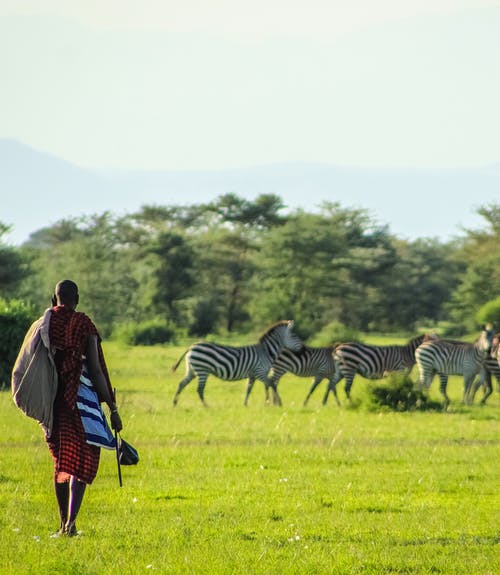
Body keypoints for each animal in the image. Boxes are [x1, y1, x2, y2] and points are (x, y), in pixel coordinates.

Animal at [172, 320, 304, 410]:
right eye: (294, 336)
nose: (303, 350)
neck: (265, 352)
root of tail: (192, 346)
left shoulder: (253, 374)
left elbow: (249, 389)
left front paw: (245, 404)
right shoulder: (260, 372)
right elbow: (271, 384)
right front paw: (276, 403)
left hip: (192, 370)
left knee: (181, 384)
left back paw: (174, 403)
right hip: (202, 370)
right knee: (199, 389)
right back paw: (206, 406)